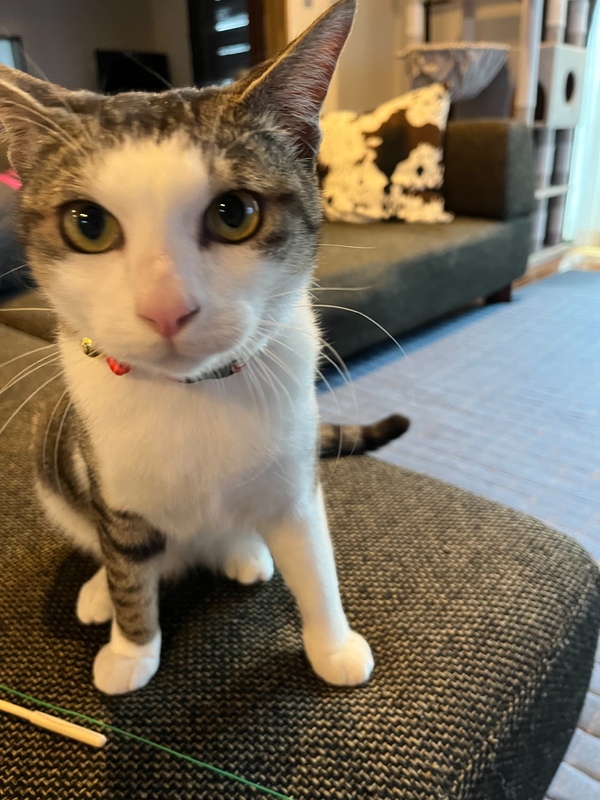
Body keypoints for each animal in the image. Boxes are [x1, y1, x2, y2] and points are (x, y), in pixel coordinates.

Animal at [0, 0, 407, 695]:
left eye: (235, 213)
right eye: (88, 225)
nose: (166, 307)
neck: (194, 396)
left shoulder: (294, 479)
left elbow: (315, 559)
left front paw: (332, 644)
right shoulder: (113, 486)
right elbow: (126, 563)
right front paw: (131, 648)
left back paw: (243, 551)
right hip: (51, 445)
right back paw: (101, 591)